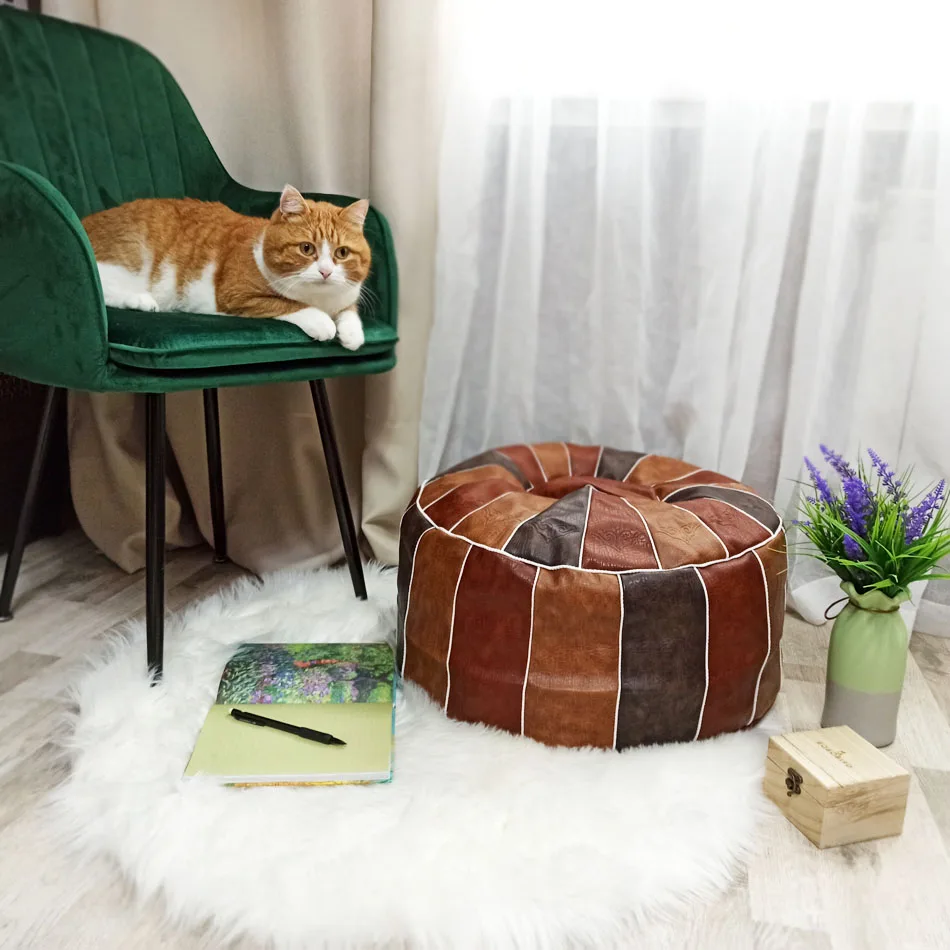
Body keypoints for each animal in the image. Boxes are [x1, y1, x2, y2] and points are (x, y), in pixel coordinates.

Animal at [81, 185, 370, 350]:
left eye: (342, 253)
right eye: (307, 248)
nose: (326, 272)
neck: (320, 298)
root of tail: (85, 220)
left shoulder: (346, 295)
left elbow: (349, 311)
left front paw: (352, 332)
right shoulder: (237, 295)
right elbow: (288, 304)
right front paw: (323, 322)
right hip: (129, 258)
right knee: (97, 285)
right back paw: (140, 299)